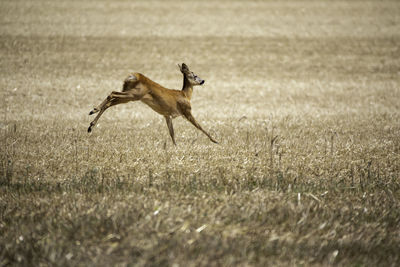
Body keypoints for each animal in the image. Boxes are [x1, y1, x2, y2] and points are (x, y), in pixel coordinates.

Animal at [88, 63, 219, 146]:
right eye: (195, 75)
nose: (203, 81)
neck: (185, 95)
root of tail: (134, 76)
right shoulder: (187, 111)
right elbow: (200, 126)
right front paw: (215, 140)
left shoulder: (167, 115)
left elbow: (172, 132)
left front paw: (175, 146)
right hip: (135, 94)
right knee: (112, 93)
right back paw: (93, 111)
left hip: (129, 96)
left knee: (111, 100)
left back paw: (91, 123)